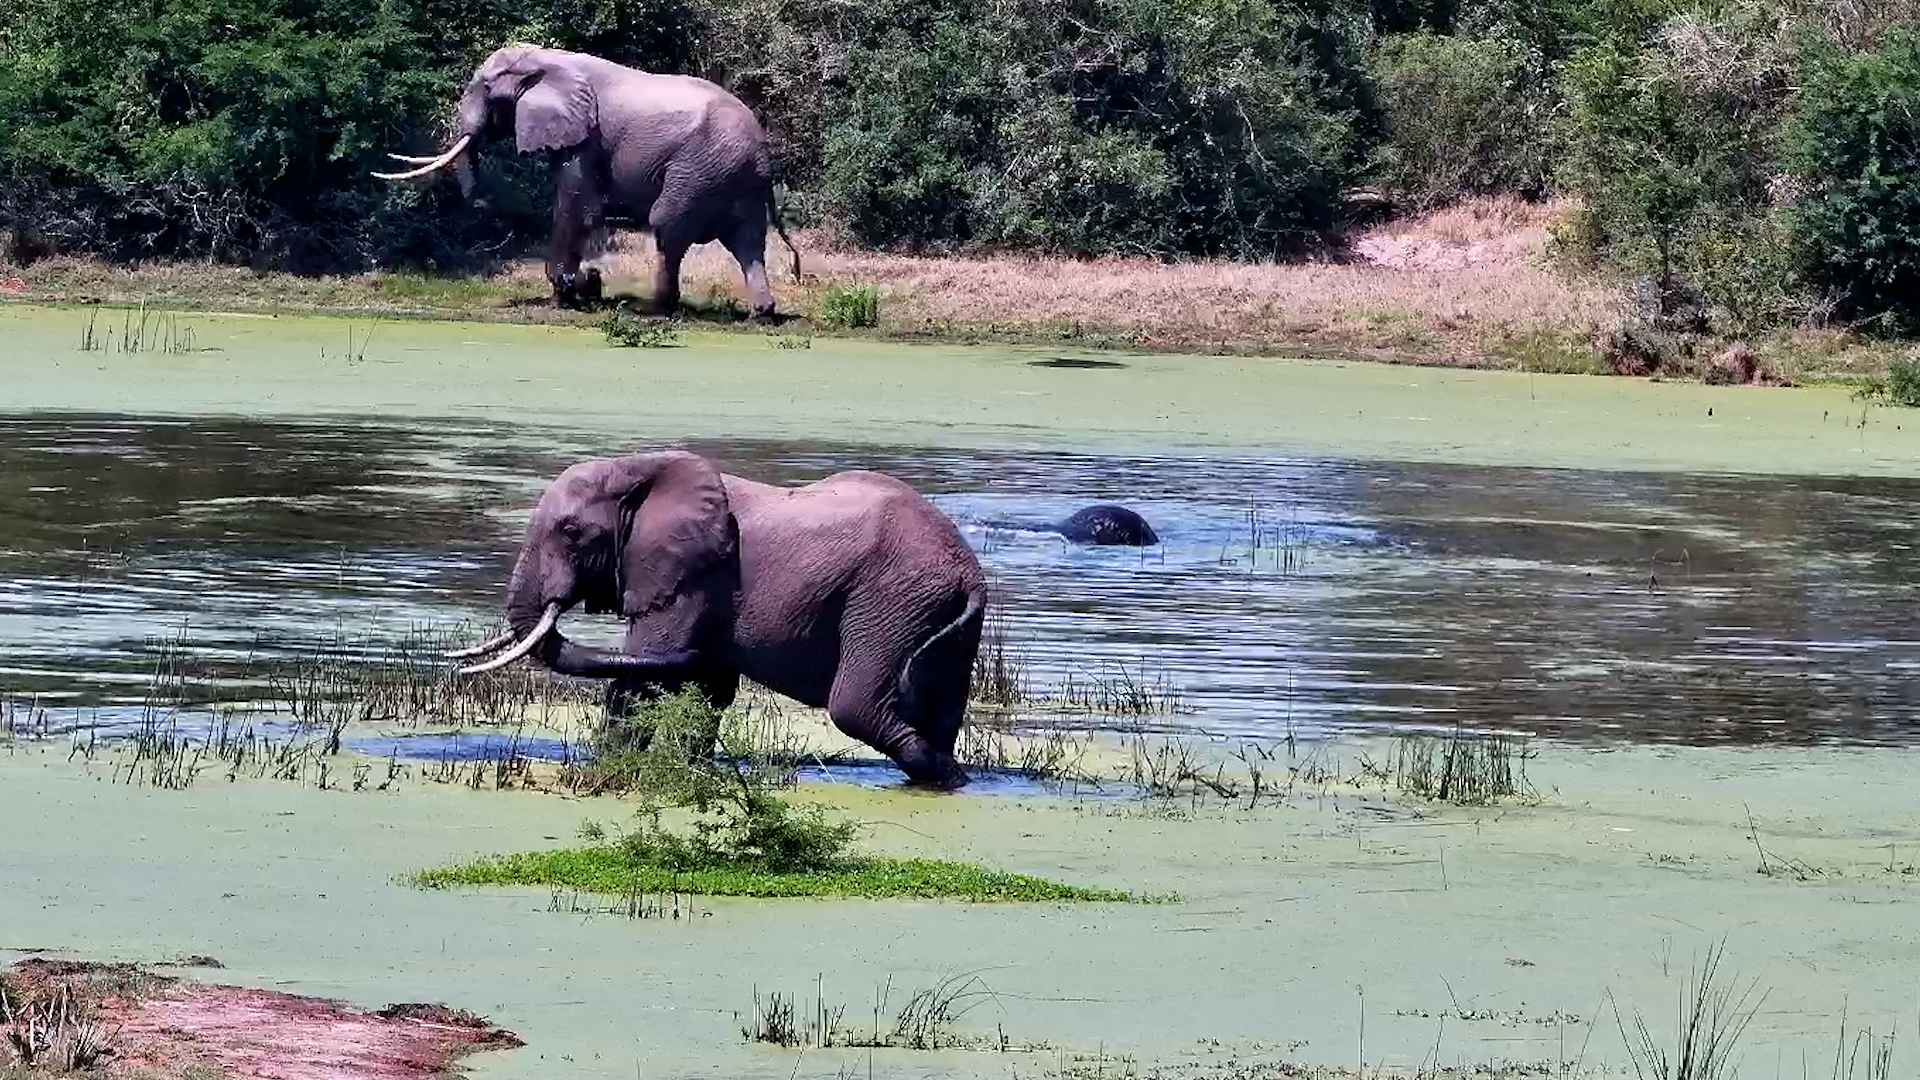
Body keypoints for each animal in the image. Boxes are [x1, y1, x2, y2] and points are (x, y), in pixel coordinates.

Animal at [375, 46, 800, 317]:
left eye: (486, 90)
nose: (482, 203)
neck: (546, 59)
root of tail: (763, 151)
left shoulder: (583, 135)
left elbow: (576, 203)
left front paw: (569, 293)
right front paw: (581, 288)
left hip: (701, 169)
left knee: (668, 226)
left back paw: (649, 310)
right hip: (733, 177)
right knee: (747, 242)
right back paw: (761, 314)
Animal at [449, 451, 987, 786]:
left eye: (571, 531)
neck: (638, 467)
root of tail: (970, 572)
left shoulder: (694, 576)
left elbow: (645, 673)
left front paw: (608, 767)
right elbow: (704, 692)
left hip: (890, 600)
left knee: (855, 708)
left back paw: (948, 775)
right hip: (932, 613)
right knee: (936, 709)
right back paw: (952, 778)